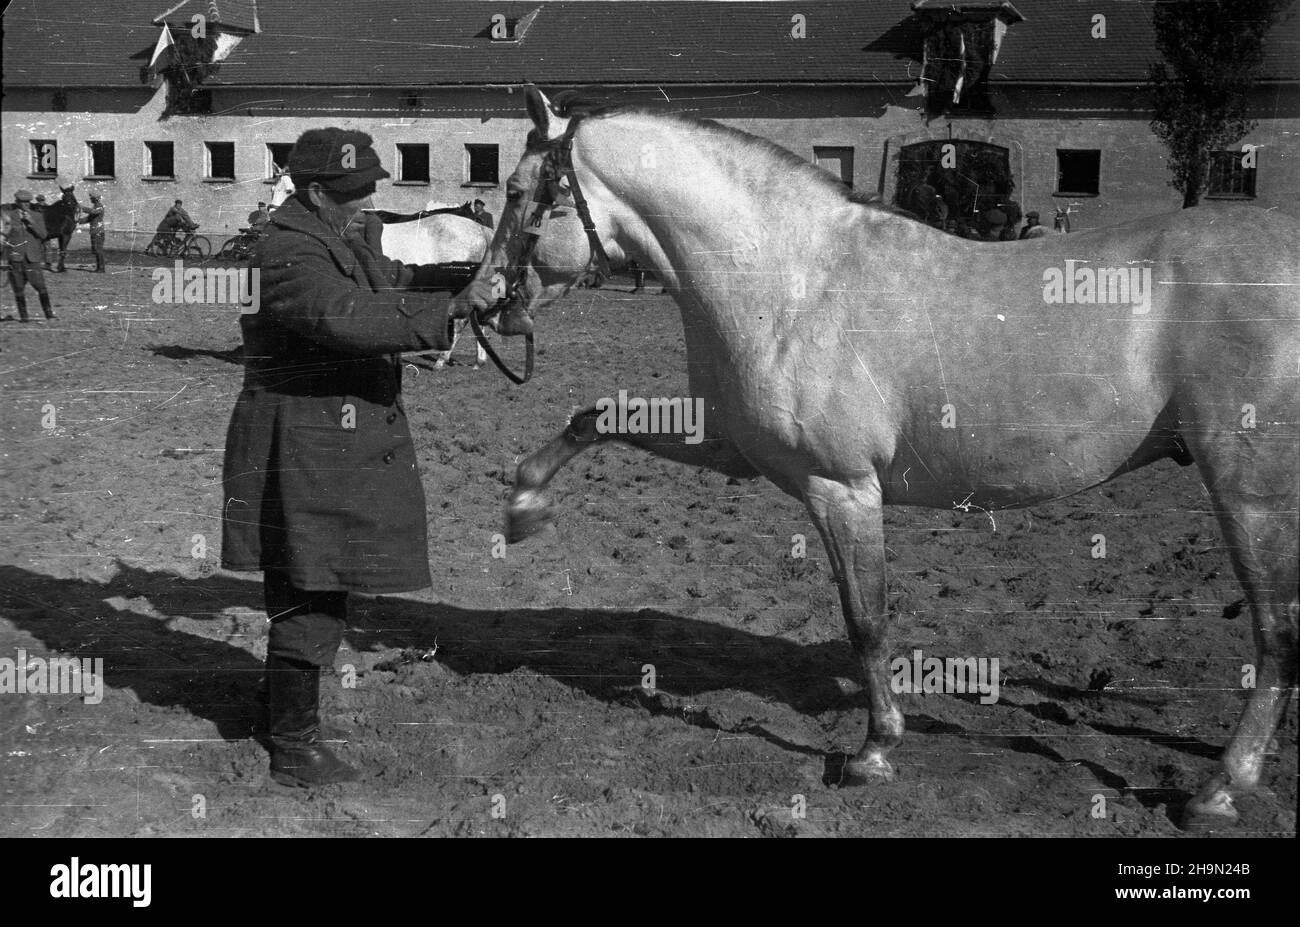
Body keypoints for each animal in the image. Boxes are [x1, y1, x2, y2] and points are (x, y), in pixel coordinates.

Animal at [482, 87, 1299, 831]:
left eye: (518, 193)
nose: (480, 301)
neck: (792, 281)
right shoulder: (732, 444)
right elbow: (596, 419)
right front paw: (523, 508)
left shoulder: (841, 488)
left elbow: (866, 619)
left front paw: (874, 752)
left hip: (1248, 491)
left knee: (1276, 634)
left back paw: (1219, 788)